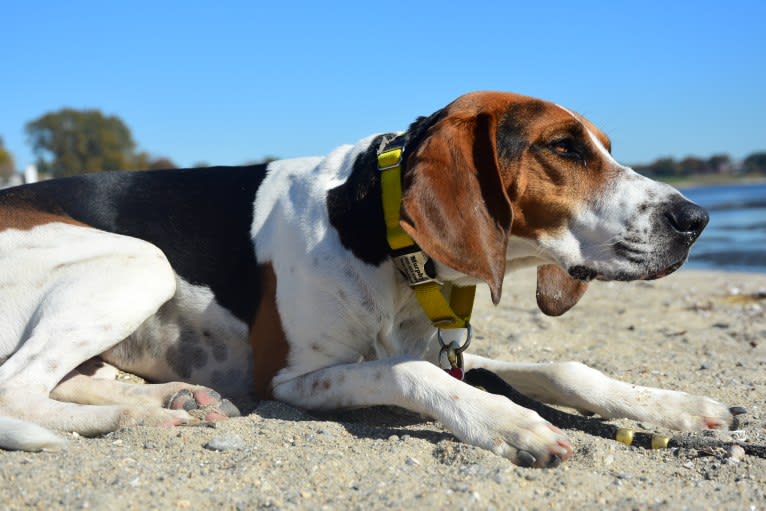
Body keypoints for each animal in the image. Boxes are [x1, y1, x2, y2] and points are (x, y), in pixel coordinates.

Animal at [0, 92, 736, 468]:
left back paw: (174, 398)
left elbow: (566, 367)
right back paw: (140, 413)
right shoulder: (292, 377)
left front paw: (672, 407)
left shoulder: (441, 349)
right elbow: (408, 375)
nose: (696, 218)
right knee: (19, 388)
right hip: (142, 261)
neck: (382, 238)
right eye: (564, 148)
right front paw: (507, 421)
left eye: (605, 146)